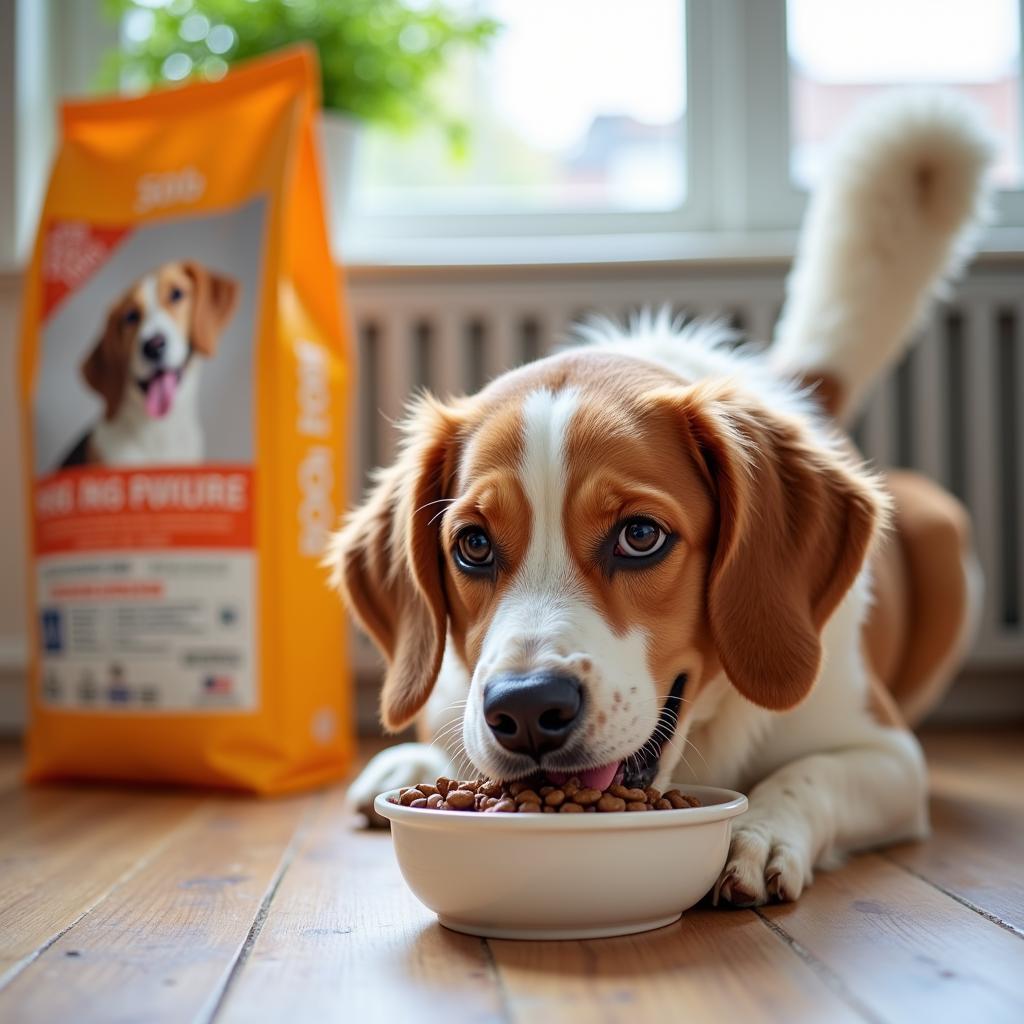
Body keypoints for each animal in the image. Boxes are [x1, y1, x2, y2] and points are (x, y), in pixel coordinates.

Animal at [333, 90, 991, 905]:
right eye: (473, 545)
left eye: (640, 536)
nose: (525, 707)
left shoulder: (890, 756)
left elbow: (809, 774)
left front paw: (756, 831)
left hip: (945, 541)